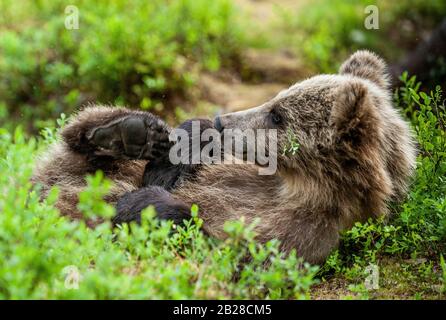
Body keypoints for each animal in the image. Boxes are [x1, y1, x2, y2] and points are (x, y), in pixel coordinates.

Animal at [32, 51, 418, 264]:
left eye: (277, 116)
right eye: (277, 98)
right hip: (77, 163)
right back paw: (130, 131)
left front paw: (143, 203)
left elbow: (217, 246)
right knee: (83, 135)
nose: (222, 121)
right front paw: (189, 139)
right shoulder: (235, 170)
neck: (293, 183)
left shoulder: (304, 232)